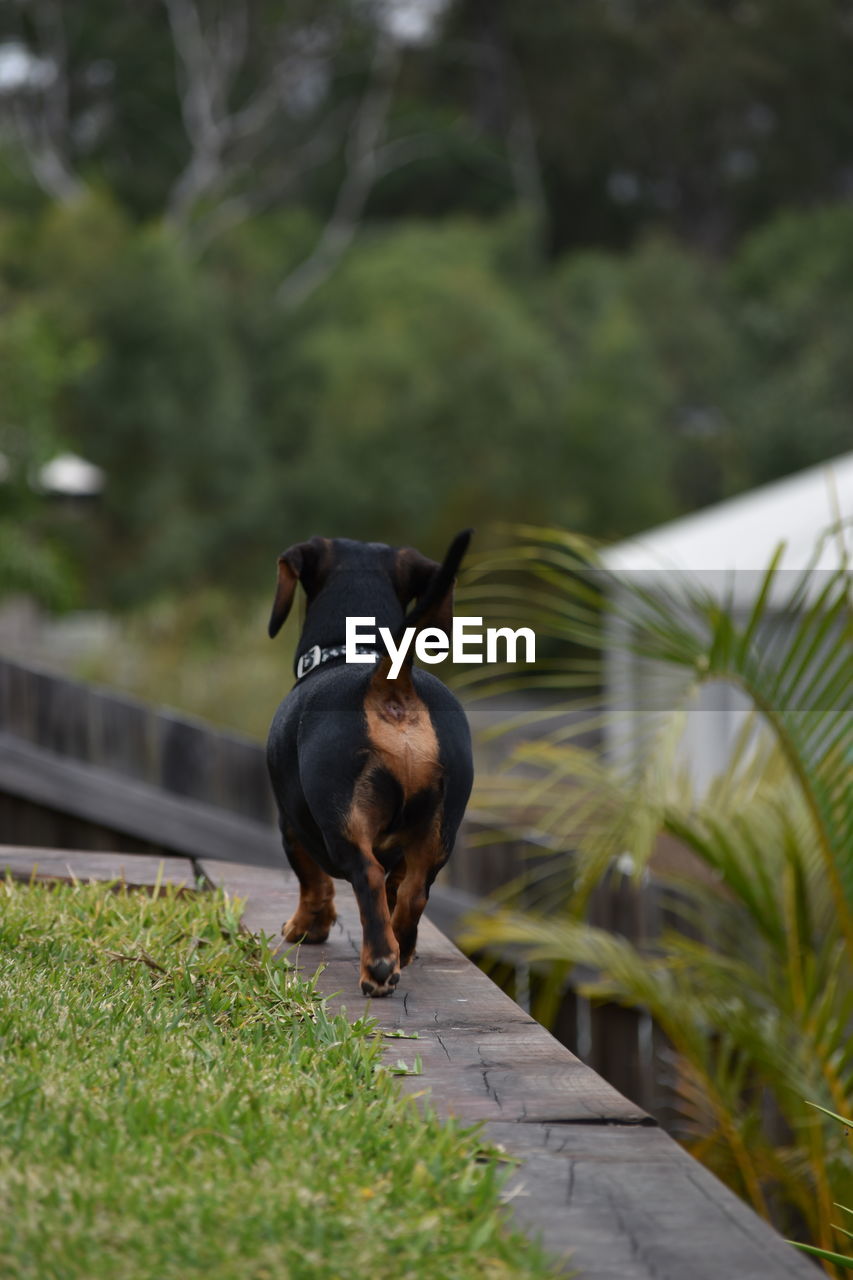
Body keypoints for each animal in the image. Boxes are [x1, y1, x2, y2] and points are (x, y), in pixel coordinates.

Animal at [266, 529, 471, 998]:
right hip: (441, 827)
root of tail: (389, 682)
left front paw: (306, 927)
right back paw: (401, 950)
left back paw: (377, 966)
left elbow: (312, 881)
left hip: (340, 820)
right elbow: (397, 887)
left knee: (368, 876)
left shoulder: (291, 824)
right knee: (414, 890)